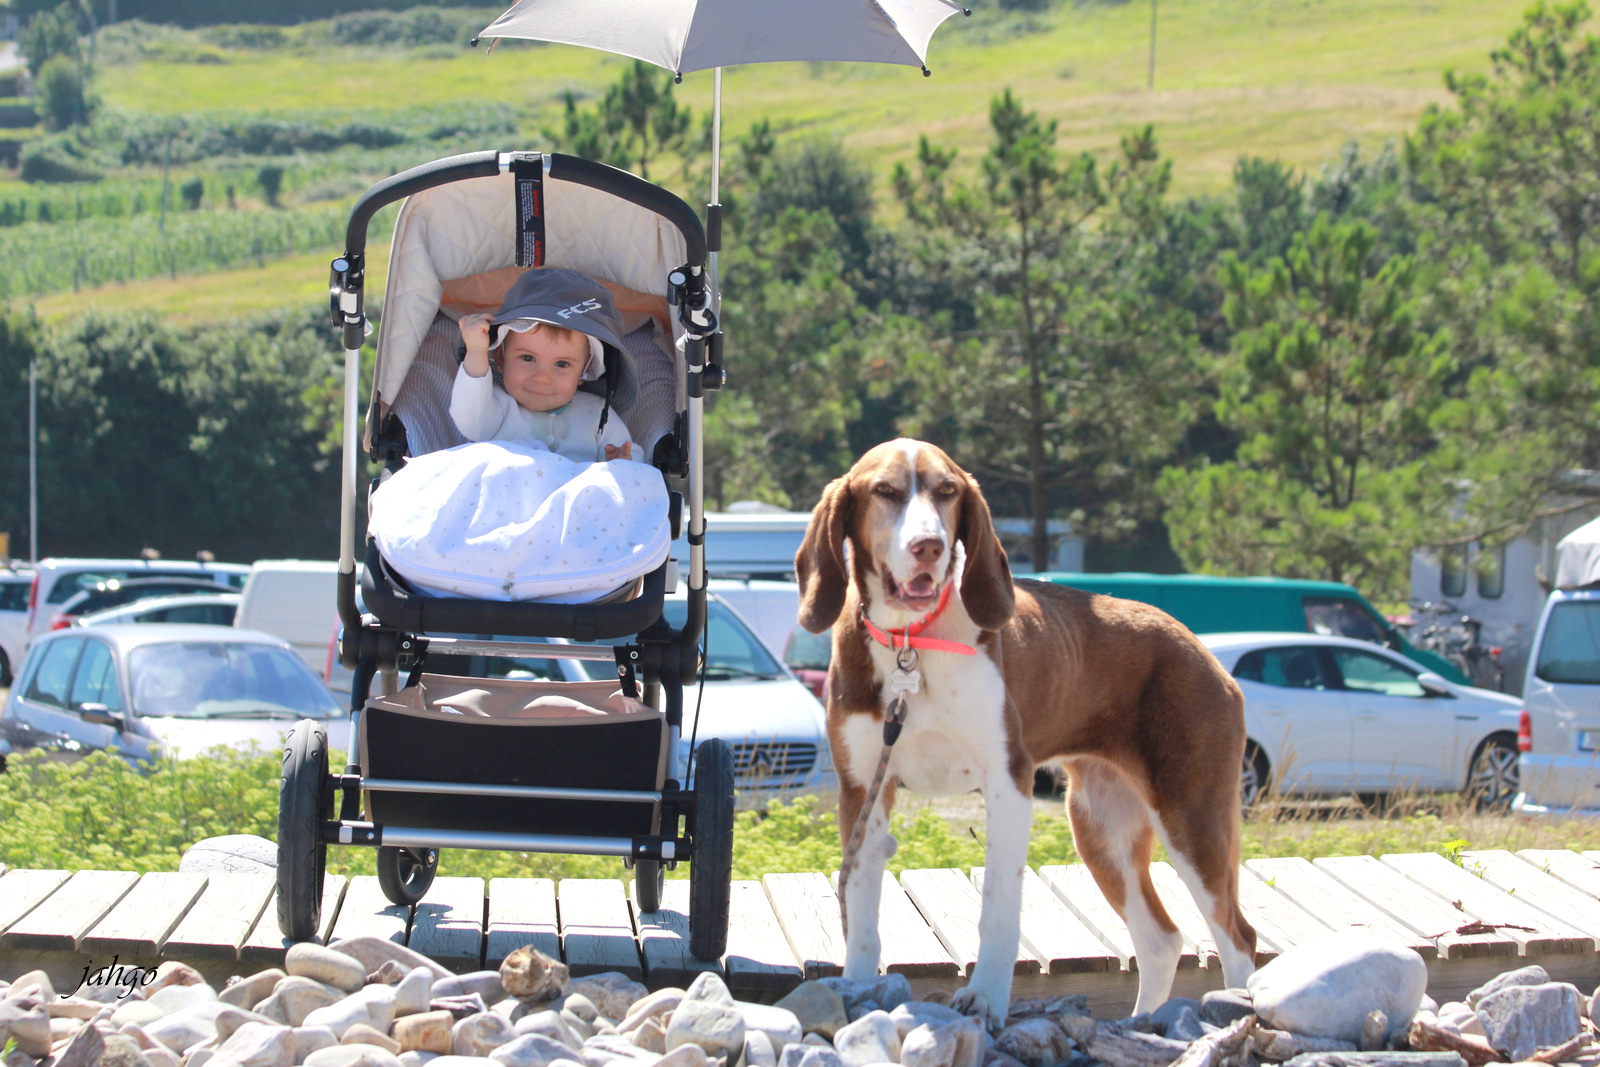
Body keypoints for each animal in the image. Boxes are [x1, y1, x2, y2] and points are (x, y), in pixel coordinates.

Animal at [795, 439, 1256, 1029]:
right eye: (886, 491)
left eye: (948, 491)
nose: (929, 546)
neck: (911, 642)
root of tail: (1203, 650)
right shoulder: (862, 790)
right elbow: (861, 906)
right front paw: (855, 991)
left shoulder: (1008, 781)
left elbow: (997, 904)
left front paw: (986, 999)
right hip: (1102, 825)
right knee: (1161, 941)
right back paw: (1140, 1023)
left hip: (1190, 813)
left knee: (1237, 936)